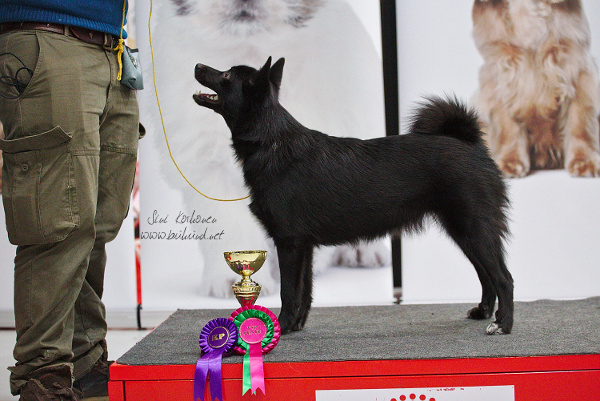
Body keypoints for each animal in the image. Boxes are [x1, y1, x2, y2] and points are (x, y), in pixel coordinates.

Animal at [195, 56, 512, 334]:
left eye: (226, 75)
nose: (198, 66)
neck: (271, 143)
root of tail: (471, 144)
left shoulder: (289, 242)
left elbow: (289, 292)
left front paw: (280, 328)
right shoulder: (304, 245)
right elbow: (305, 292)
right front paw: (295, 326)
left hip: (474, 228)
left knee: (503, 278)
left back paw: (502, 325)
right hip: (465, 232)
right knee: (486, 276)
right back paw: (484, 312)